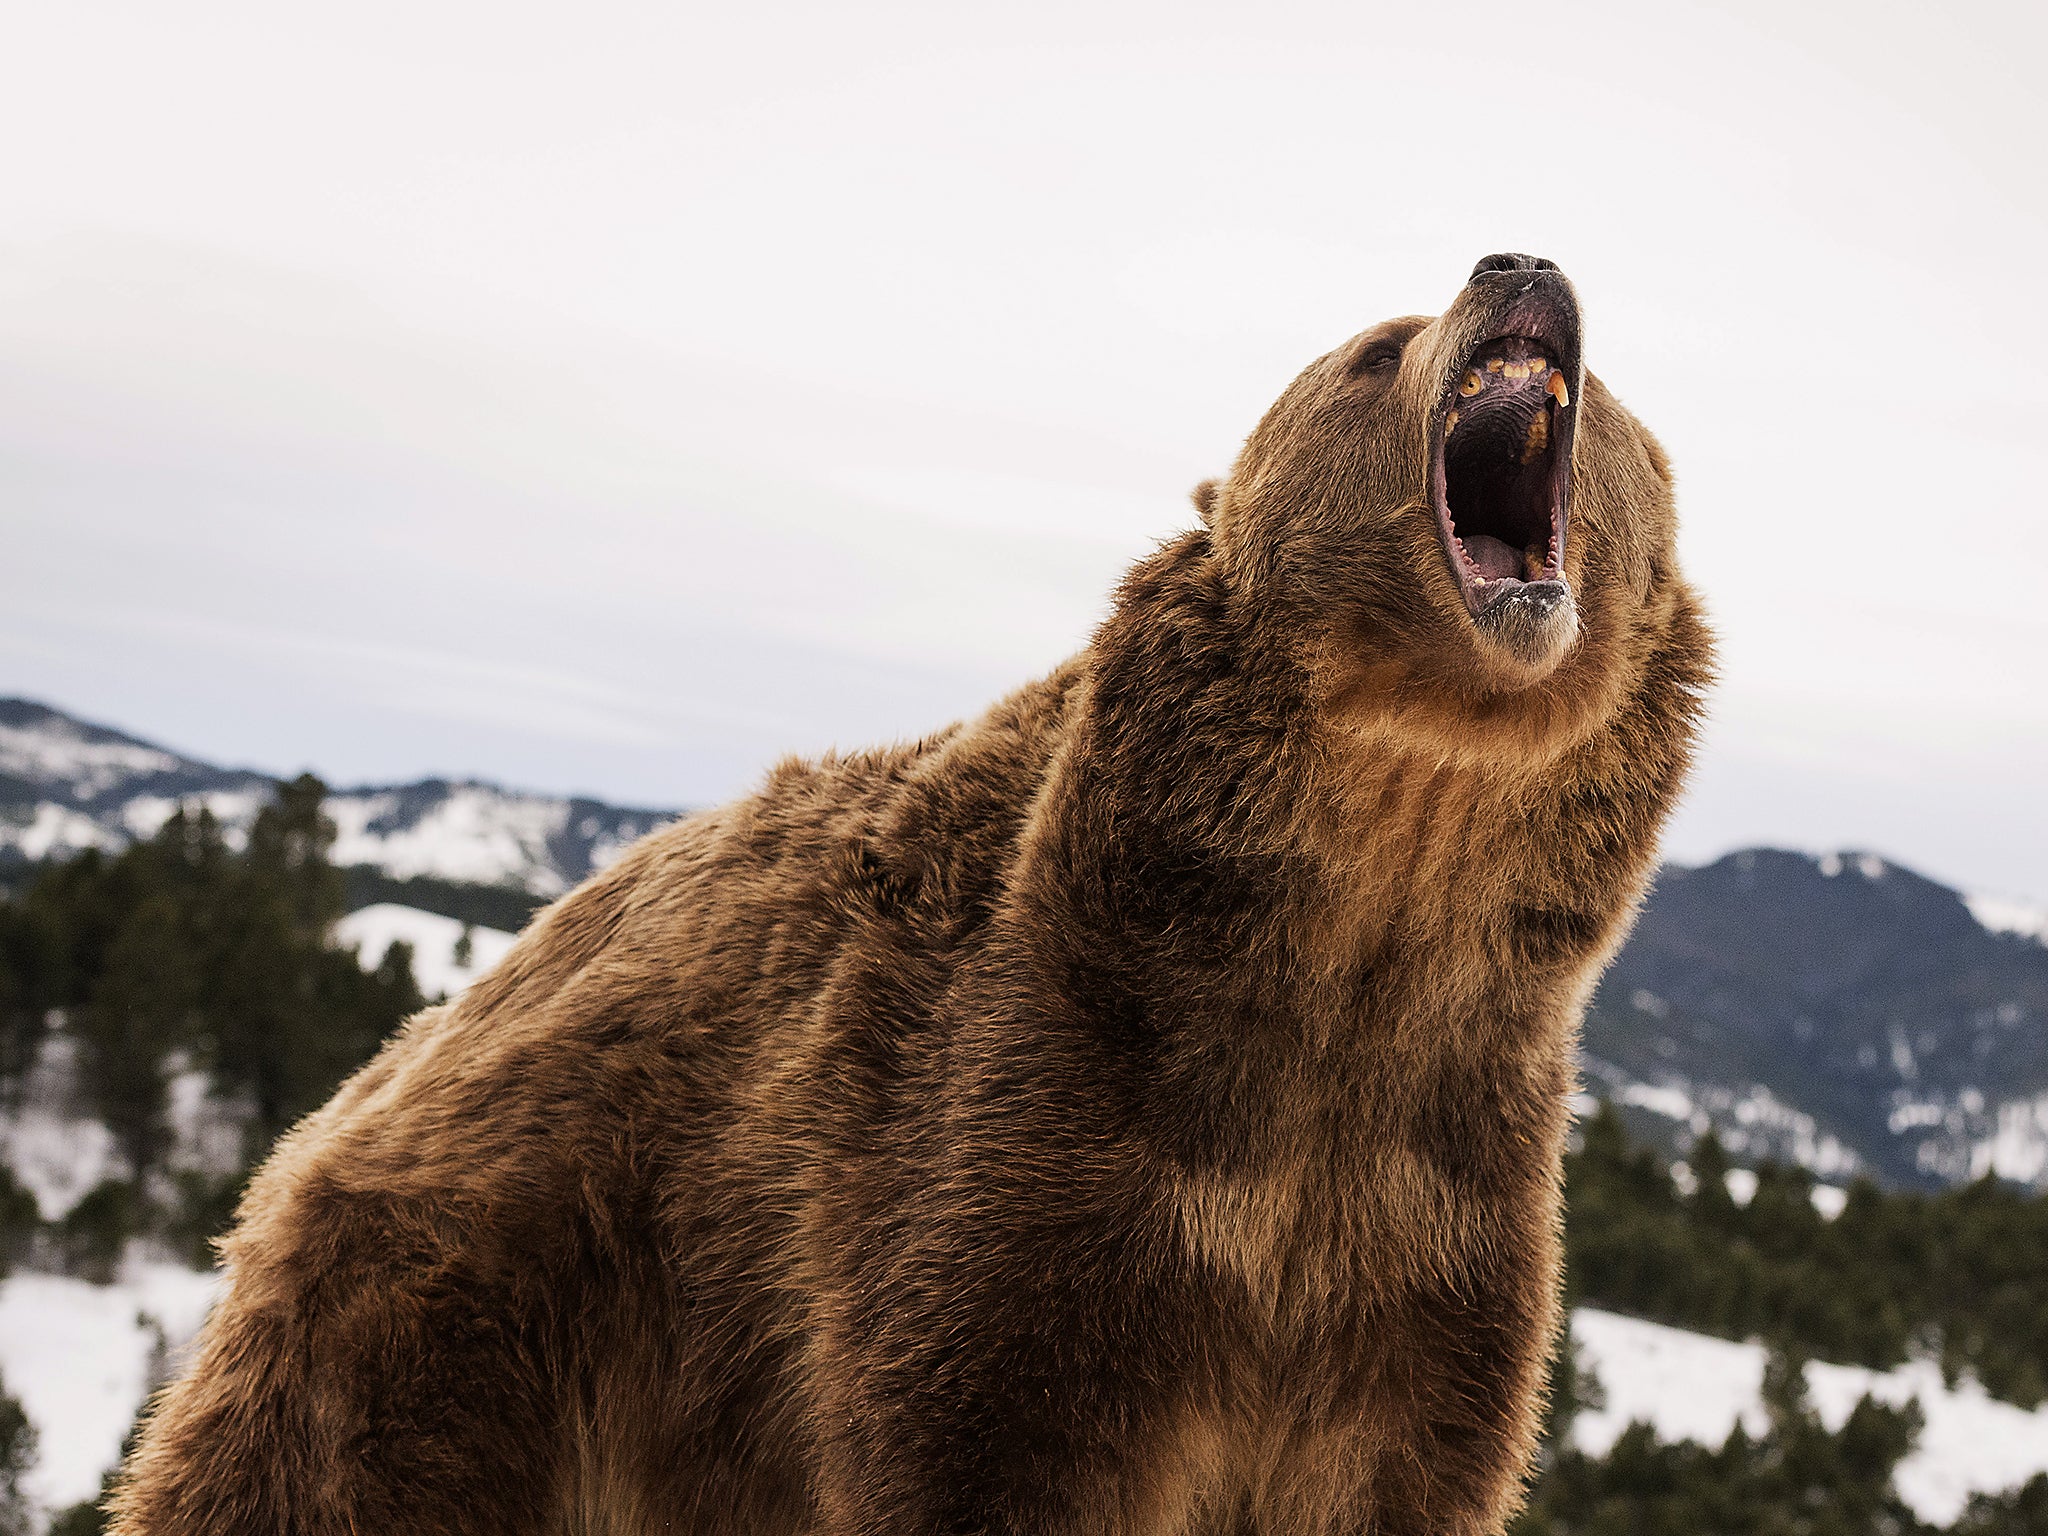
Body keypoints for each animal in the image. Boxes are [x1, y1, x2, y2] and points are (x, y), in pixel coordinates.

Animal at [108, 256, 1712, 1536]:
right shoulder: (1023, 1152)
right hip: (458, 1318)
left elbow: (1400, 1462)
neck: (1367, 918)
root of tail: (377, 1079)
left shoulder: (1424, 1226)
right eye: (1381, 346)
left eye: (1618, 402)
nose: (1521, 269)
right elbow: (987, 1430)